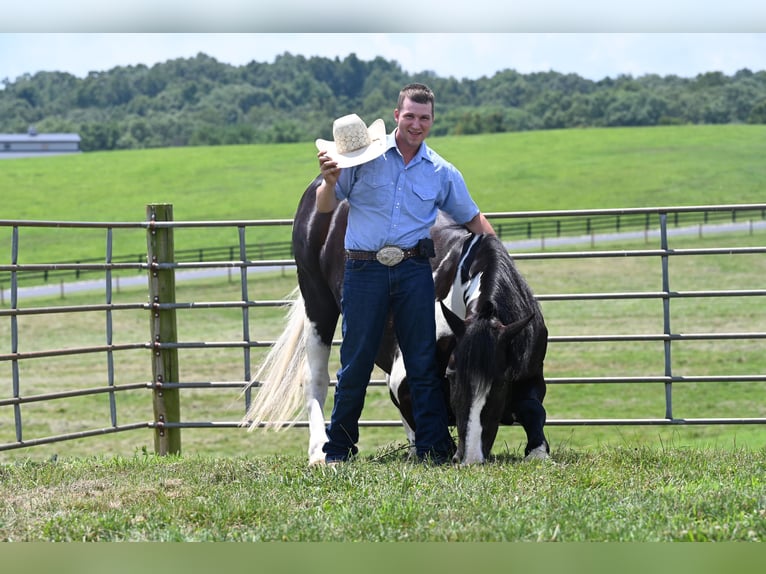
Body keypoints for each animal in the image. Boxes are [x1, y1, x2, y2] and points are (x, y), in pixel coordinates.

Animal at [246, 177, 552, 468]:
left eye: (500, 383)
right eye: (452, 375)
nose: (471, 457)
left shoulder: (530, 372)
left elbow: (533, 408)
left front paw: (538, 450)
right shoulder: (405, 375)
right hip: (316, 300)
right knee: (316, 377)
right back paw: (319, 450)